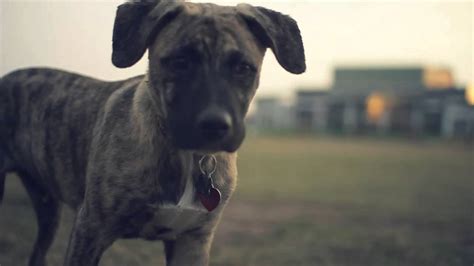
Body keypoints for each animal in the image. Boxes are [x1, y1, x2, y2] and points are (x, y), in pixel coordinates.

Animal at [0, 1, 304, 264]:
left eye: (243, 68)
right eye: (179, 61)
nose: (215, 125)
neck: (187, 158)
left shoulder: (192, 242)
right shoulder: (90, 229)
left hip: (47, 205)